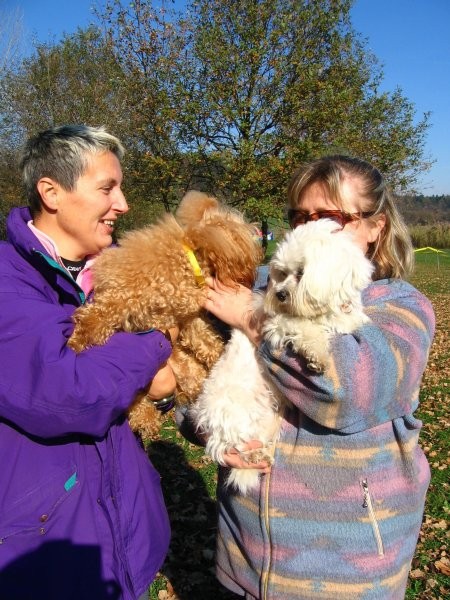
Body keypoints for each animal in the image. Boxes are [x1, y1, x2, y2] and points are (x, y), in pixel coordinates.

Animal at [192, 219, 374, 492]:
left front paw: (352, 317)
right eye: (281, 273)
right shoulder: (277, 323)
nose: (279, 294)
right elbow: (304, 328)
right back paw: (251, 455)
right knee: (228, 446)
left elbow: (348, 319)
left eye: (300, 273)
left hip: (268, 420)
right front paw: (316, 355)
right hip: (233, 415)